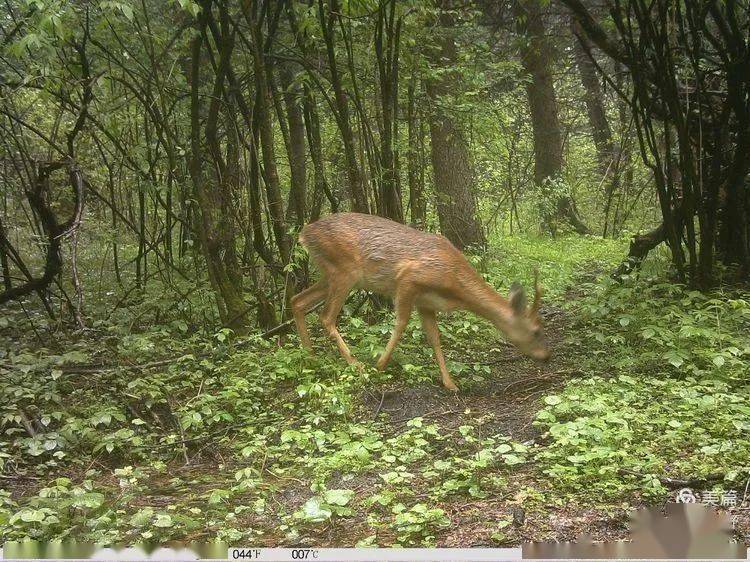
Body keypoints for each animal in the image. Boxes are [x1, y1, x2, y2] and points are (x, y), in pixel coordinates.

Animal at [290, 211, 548, 390]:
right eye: (536, 330)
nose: (547, 356)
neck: (454, 282)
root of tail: (304, 234)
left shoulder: (426, 303)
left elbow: (434, 338)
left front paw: (450, 383)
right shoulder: (408, 279)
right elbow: (401, 324)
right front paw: (380, 365)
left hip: (329, 274)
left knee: (297, 300)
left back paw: (310, 356)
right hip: (345, 271)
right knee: (325, 316)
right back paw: (356, 365)